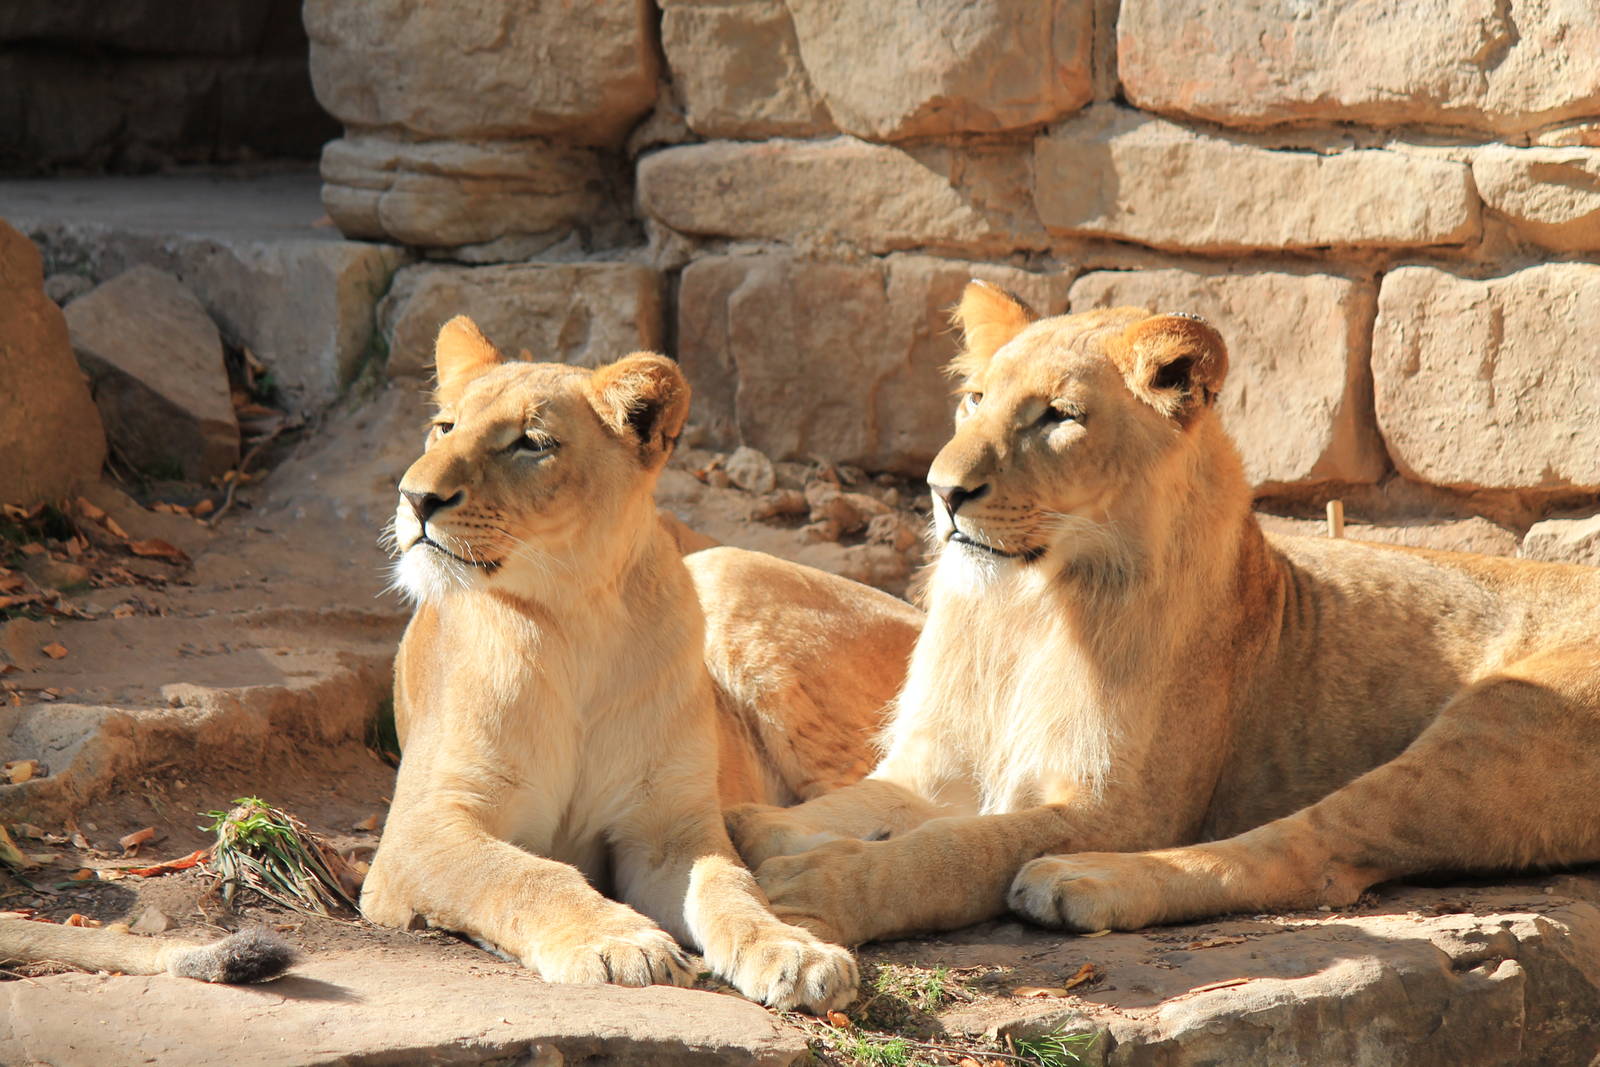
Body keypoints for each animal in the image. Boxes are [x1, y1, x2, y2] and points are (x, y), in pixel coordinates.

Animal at [358, 316, 919, 1011]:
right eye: (443, 427)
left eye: (530, 443)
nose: (414, 498)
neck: (575, 621)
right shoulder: (421, 828)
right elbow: (522, 874)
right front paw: (620, 942)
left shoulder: (666, 829)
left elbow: (727, 886)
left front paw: (794, 950)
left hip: (724, 567)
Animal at [727, 281, 1600, 947]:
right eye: (974, 399)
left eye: (1058, 415)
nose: (943, 491)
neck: (1029, 612)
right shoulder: (933, 765)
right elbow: (855, 801)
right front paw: (752, 824)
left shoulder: (1120, 806)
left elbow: (959, 845)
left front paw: (825, 880)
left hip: (1496, 722)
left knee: (1307, 853)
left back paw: (1080, 881)